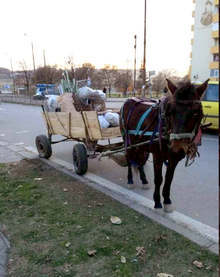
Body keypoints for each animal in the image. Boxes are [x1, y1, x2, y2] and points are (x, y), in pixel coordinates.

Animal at [119, 78, 209, 212]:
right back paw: (130, 180)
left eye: (196, 113)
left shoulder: (174, 159)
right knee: (129, 158)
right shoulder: (158, 156)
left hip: (140, 144)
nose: (177, 146)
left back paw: (144, 180)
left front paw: (167, 200)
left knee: (140, 161)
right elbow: (159, 179)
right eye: (170, 112)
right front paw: (157, 201)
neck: (166, 127)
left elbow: (169, 179)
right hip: (128, 141)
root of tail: (128, 100)